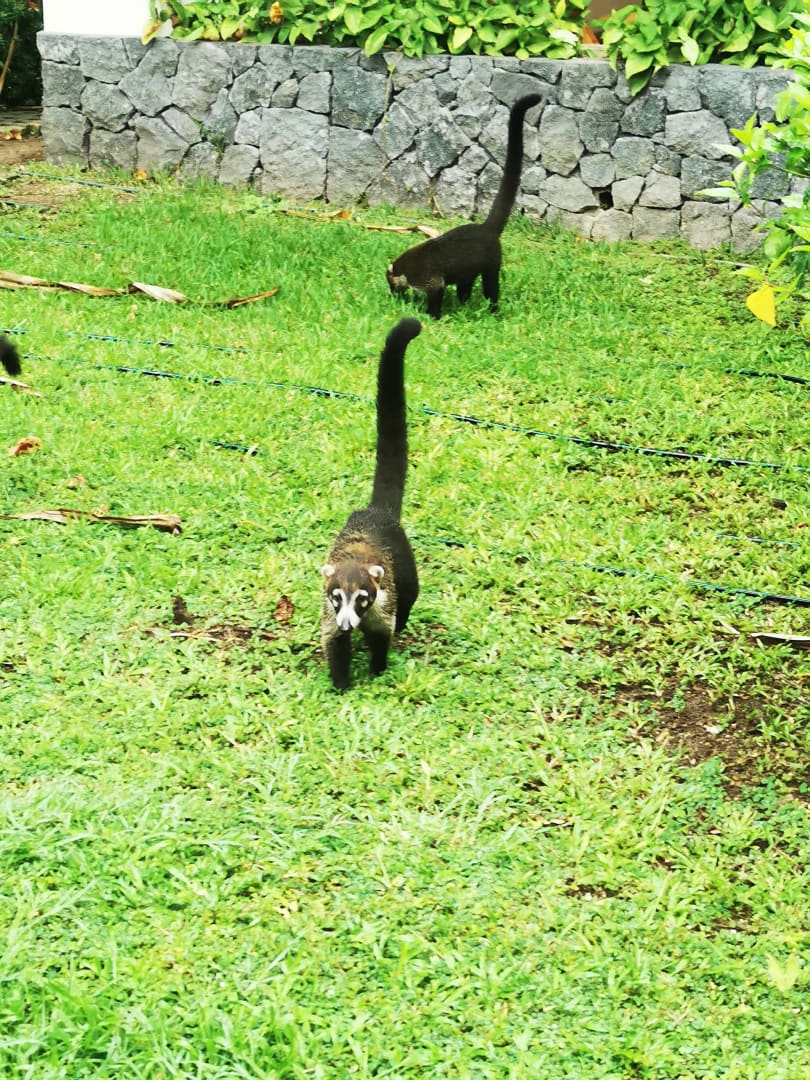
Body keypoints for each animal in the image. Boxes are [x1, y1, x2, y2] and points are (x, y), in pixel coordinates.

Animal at [320, 318, 421, 691]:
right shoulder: (328, 614)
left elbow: (383, 634)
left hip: (405, 564)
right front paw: (341, 682)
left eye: (362, 598)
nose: (349, 623)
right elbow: (332, 641)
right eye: (337, 598)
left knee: (411, 594)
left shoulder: (383, 600)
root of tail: (376, 511)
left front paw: (378, 667)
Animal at [386, 93, 544, 319]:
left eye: (390, 283)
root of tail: (486, 227)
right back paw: (464, 303)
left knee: (490, 286)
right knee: (465, 285)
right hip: (468, 268)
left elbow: (437, 290)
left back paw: (493, 309)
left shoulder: (428, 277)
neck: (405, 267)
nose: (391, 295)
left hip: (491, 262)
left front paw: (432, 315)